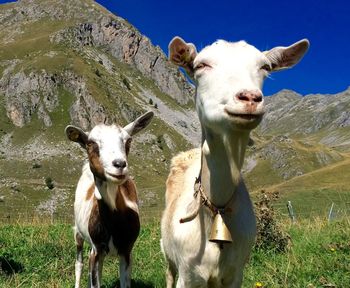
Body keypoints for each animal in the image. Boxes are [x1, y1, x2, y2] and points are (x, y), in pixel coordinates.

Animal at [65, 111, 153, 288]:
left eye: (128, 140)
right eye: (90, 143)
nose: (119, 164)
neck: (114, 220)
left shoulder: (126, 251)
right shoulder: (97, 249)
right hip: (78, 233)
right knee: (79, 263)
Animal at [161, 37, 308, 286]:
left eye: (265, 67)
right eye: (201, 65)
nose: (250, 98)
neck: (217, 206)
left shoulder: (236, 273)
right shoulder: (188, 274)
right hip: (168, 254)